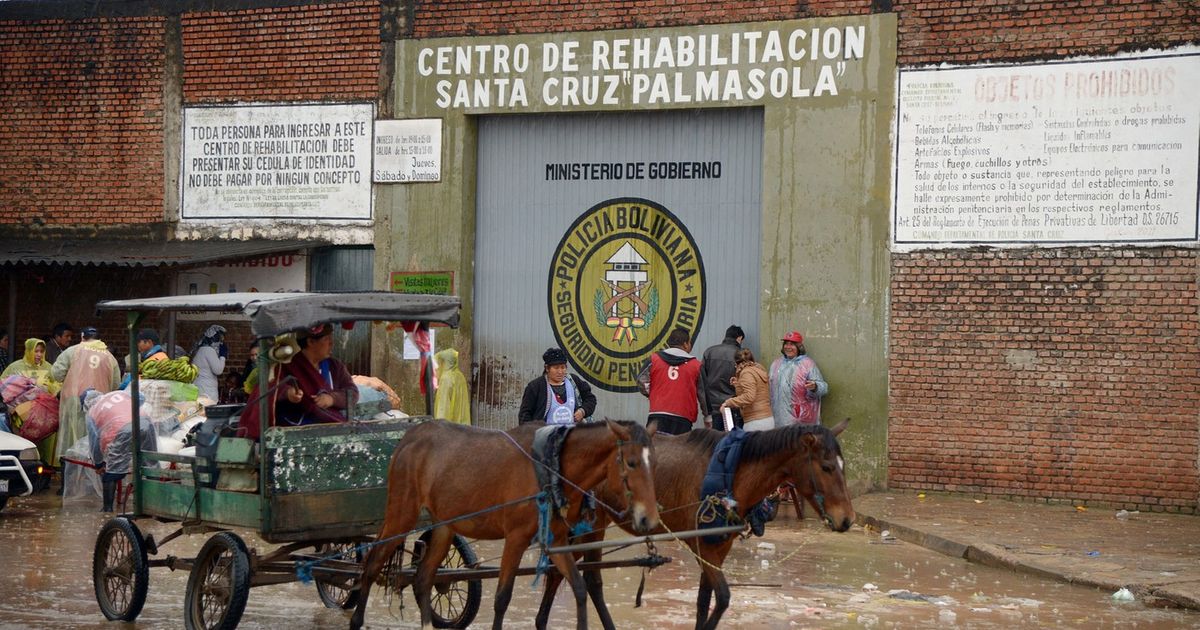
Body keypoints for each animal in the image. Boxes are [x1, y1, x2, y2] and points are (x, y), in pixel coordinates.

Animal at [350, 417, 662, 628]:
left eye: (654, 464)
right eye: (631, 462)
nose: (649, 517)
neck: (550, 466)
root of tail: (410, 436)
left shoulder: (557, 541)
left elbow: (580, 589)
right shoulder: (515, 539)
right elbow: (502, 598)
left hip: (444, 525)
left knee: (424, 578)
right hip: (401, 514)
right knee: (372, 566)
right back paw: (356, 619)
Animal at [535, 417, 854, 628]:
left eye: (843, 466)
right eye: (826, 467)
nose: (847, 519)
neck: (732, 471)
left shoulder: (718, 545)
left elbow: (704, 600)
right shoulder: (702, 544)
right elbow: (723, 597)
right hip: (590, 525)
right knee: (580, 577)